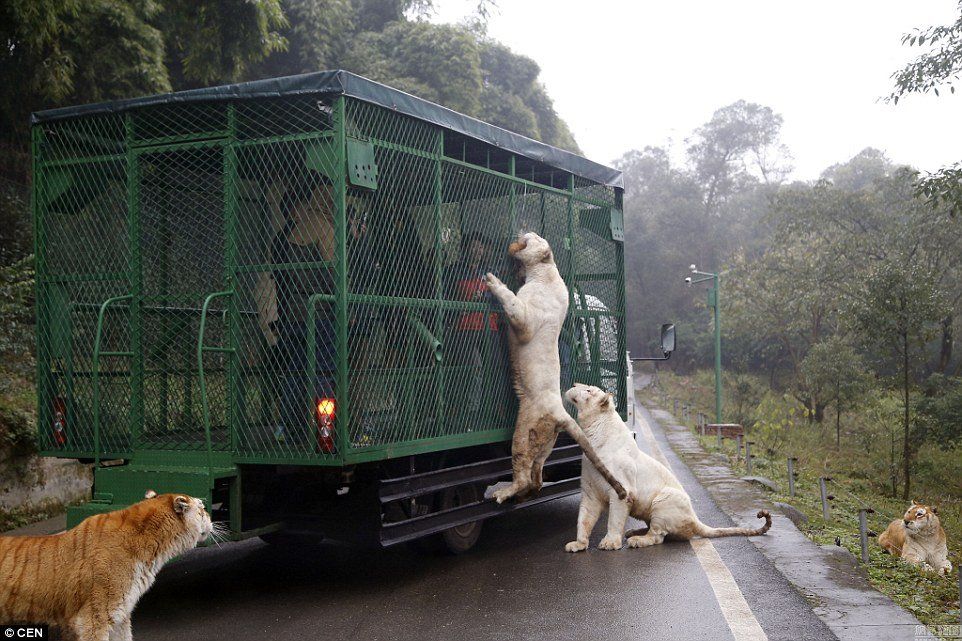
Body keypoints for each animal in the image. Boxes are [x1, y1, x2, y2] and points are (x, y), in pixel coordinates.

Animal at [480, 232, 632, 502]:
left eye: (530, 238)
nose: (520, 234)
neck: (545, 269)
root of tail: (562, 413)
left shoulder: (526, 320)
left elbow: (512, 304)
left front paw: (492, 280)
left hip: (525, 429)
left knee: (522, 470)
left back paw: (504, 494)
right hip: (546, 442)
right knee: (537, 473)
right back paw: (528, 491)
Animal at [560, 382, 768, 552]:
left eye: (589, 390)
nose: (574, 383)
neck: (592, 435)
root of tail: (694, 518)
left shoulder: (623, 491)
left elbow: (614, 519)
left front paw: (610, 543)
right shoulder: (590, 492)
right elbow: (583, 519)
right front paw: (578, 544)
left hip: (665, 499)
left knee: (657, 536)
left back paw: (637, 539)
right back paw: (633, 532)